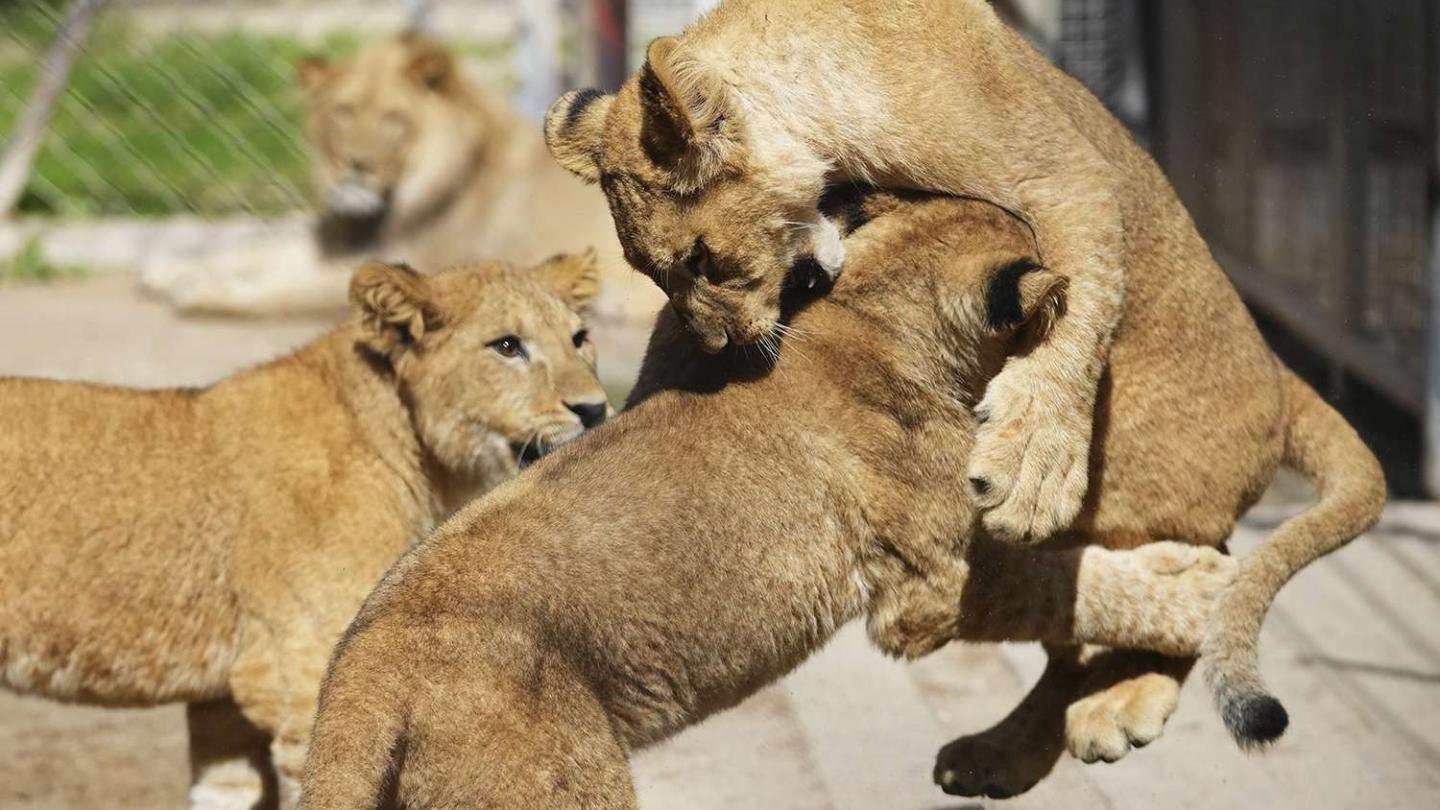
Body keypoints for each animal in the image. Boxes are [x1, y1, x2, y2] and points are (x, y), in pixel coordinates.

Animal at [0, 252, 608, 809]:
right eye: (507, 346)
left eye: (579, 338)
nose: (596, 409)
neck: (415, 453)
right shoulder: (303, 679)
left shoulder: (225, 704)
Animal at [142, 34, 664, 330]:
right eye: (343, 112)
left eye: (393, 119)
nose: (355, 164)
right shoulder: (342, 241)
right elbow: (259, 250)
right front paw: (173, 270)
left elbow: (284, 289)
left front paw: (200, 292)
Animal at [287, 193, 1321, 810]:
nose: (1081, 300)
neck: (866, 314)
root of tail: (362, 679)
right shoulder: (922, 592)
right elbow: (1067, 579)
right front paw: (1194, 584)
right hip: (557, 787)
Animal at [544, 0, 1229, 546]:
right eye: (650, 273)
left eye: (700, 260)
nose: (718, 344)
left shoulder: (1062, 169)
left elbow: (1085, 298)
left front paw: (1035, 469)